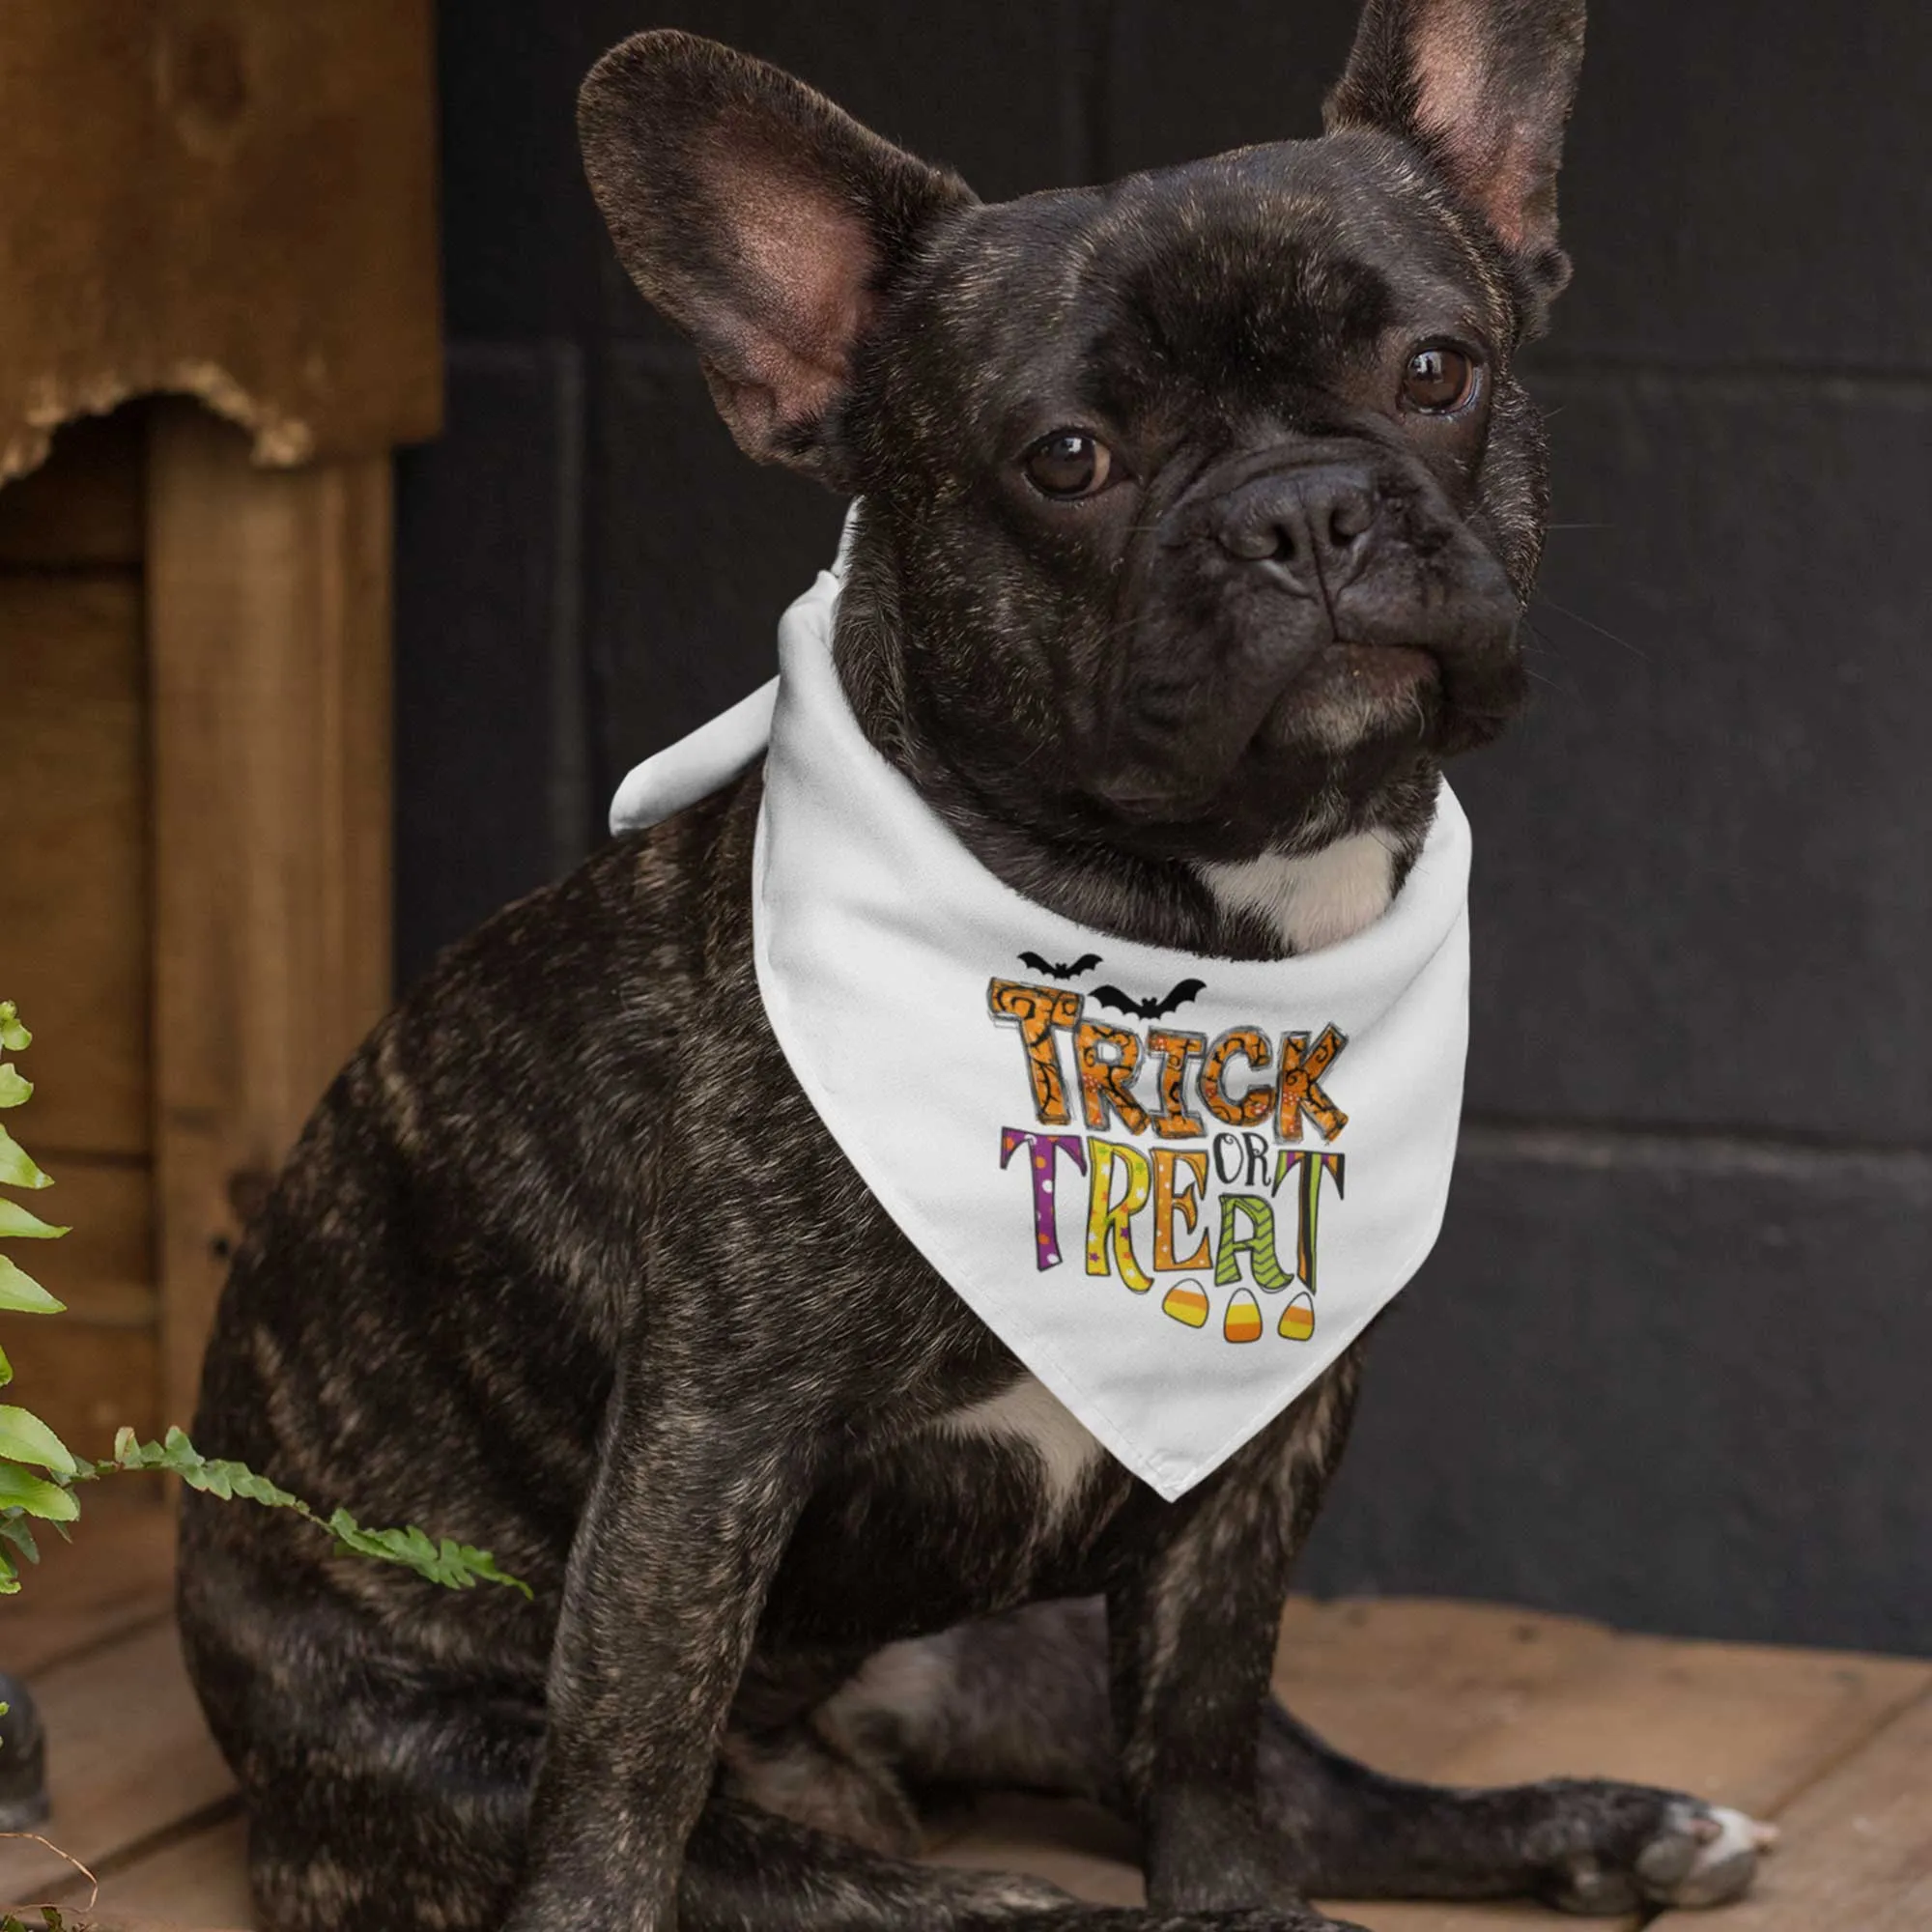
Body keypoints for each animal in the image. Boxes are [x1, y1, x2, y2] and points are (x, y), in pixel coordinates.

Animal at [178, 3, 1770, 1932]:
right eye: (1067, 460)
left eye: (1439, 369)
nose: (1307, 509)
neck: (1184, 917)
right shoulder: (707, 1444)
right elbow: (626, 1769)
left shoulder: (1263, 1438)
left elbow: (1210, 1719)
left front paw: (1232, 1898)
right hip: (459, 1764)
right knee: (859, 1881)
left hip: (1052, 1638)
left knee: (1294, 1787)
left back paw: (1610, 1826)